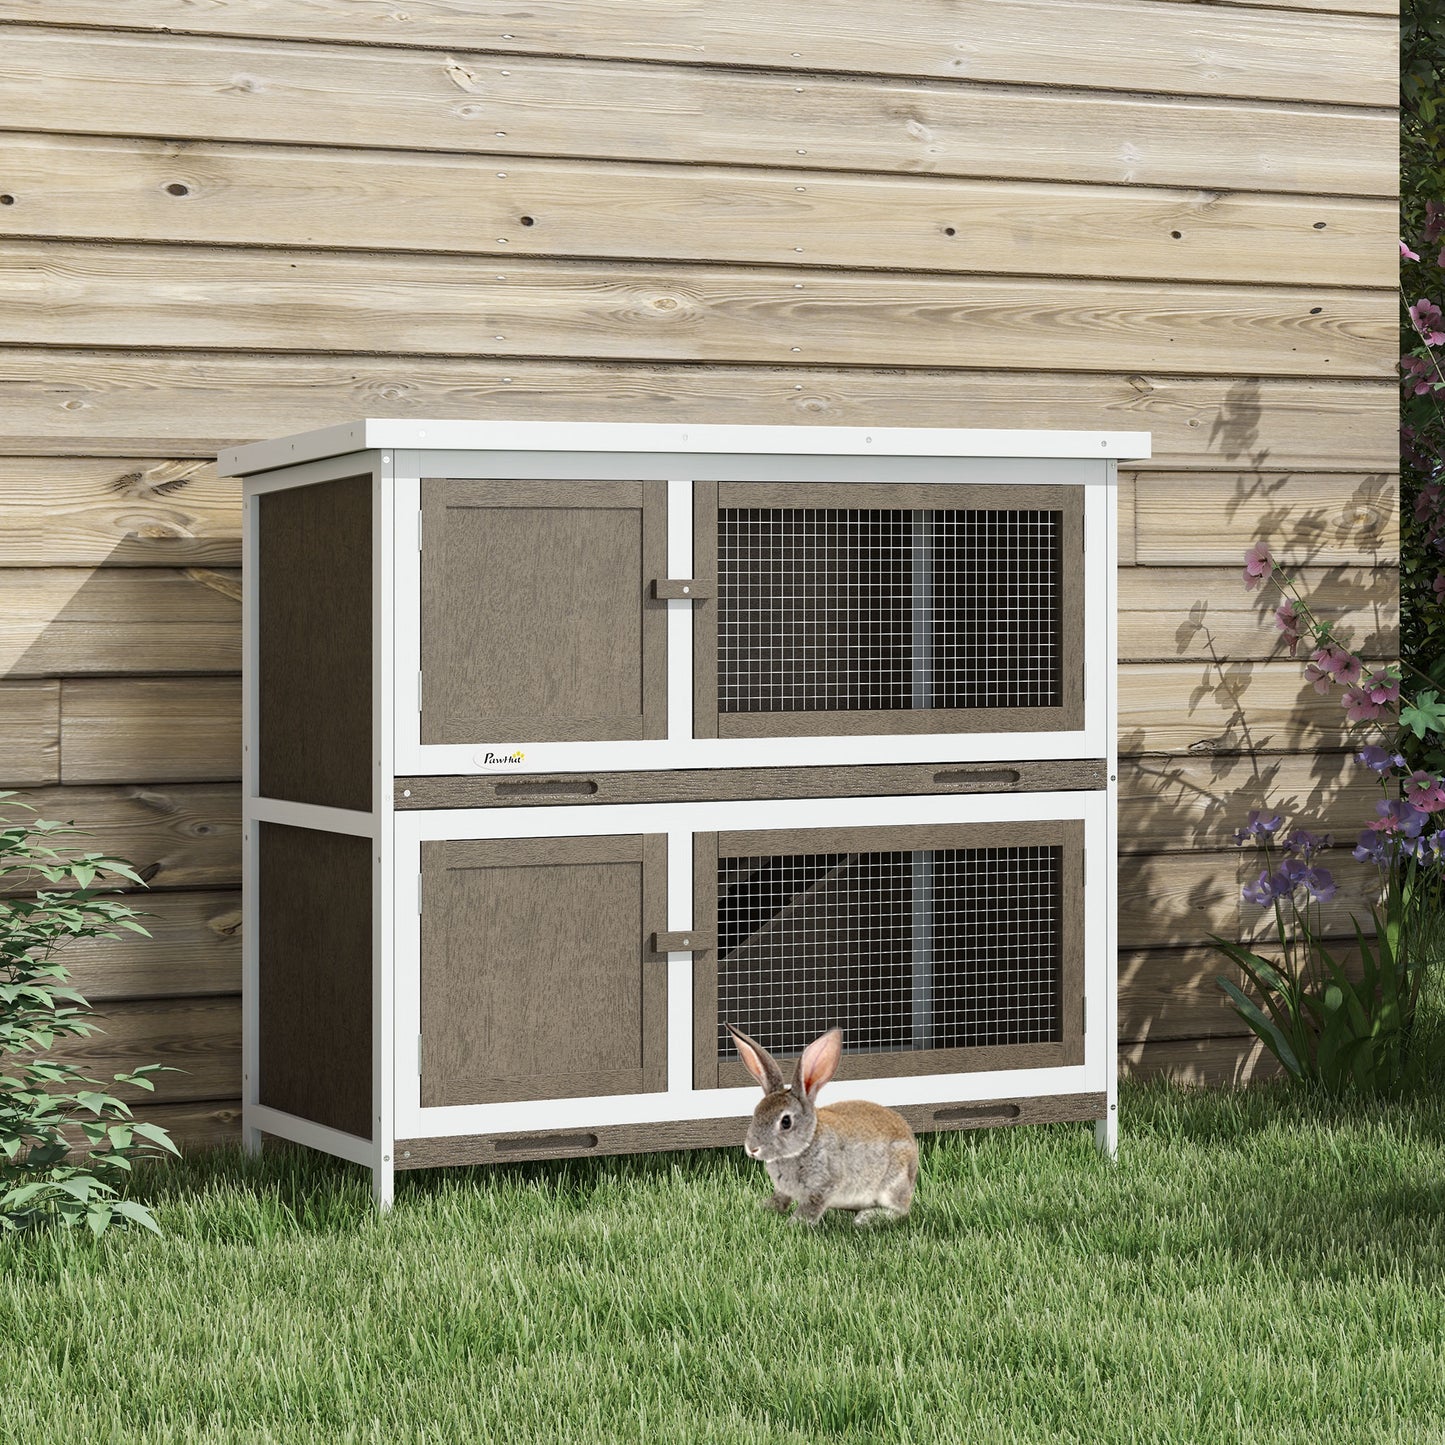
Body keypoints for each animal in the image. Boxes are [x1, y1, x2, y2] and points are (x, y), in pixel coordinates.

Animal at [726, 1023, 918, 1227]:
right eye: (756, 1112)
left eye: (786, 1122)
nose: (752, 1149)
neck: (806, 1143)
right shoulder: (784, 1190)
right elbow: (781, 1199)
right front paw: (764, 1208)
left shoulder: (824, 1186)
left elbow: (810, 1208)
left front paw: (794, 1224)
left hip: (893, 1183)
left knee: (901, 1211)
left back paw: (866, 1217)